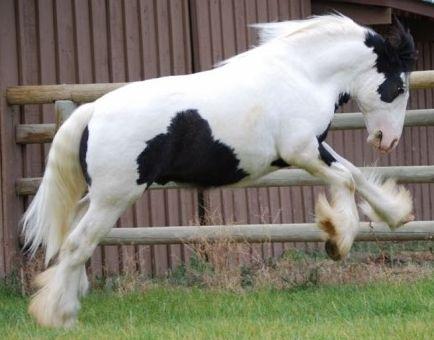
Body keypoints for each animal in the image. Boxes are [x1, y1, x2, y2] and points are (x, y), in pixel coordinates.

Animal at [22, 14, 418, 328]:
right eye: (398, 88)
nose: (387, 140)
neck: (302, 75)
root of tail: (91, 111)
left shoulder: (315, 146)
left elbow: (356, 174)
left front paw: (396, 214)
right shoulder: (302, 151)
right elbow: (346, 179)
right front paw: (337, 240)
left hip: (97, 198)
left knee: (73, 239)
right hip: (114, 198)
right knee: (77, 244)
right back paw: (58, 316)